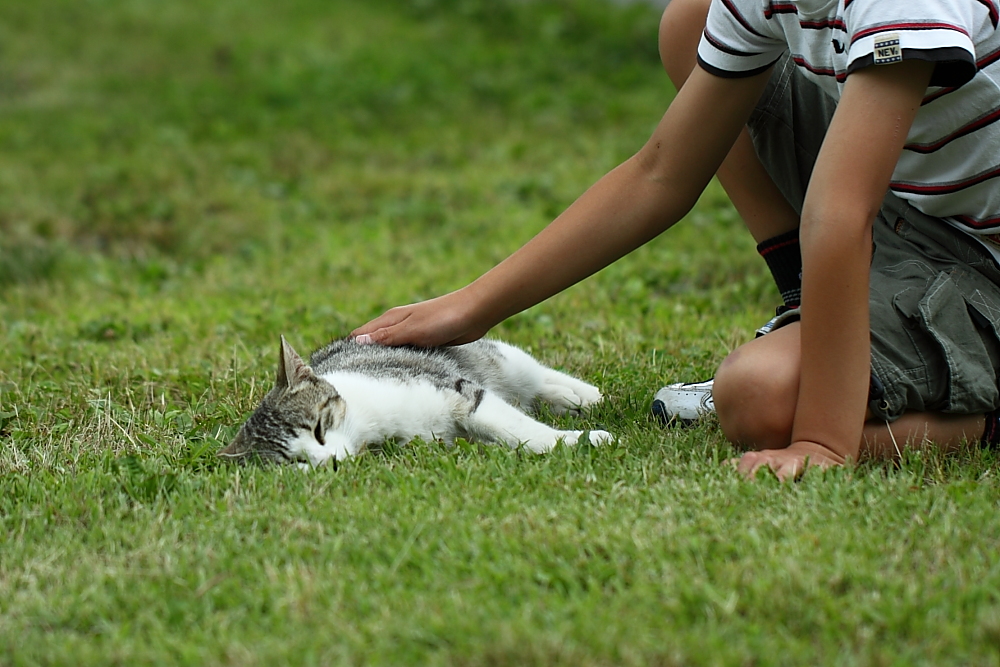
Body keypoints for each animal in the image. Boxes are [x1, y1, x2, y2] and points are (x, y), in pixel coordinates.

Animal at [218, 336, 608, 468]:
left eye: (318, 429)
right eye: (294, 463)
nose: (330, 463)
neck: (368, 429)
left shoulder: (456, 389)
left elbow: (516, 427)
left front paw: (580, 440)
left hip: (492, 359)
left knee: (533, 374)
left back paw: (580, 393)